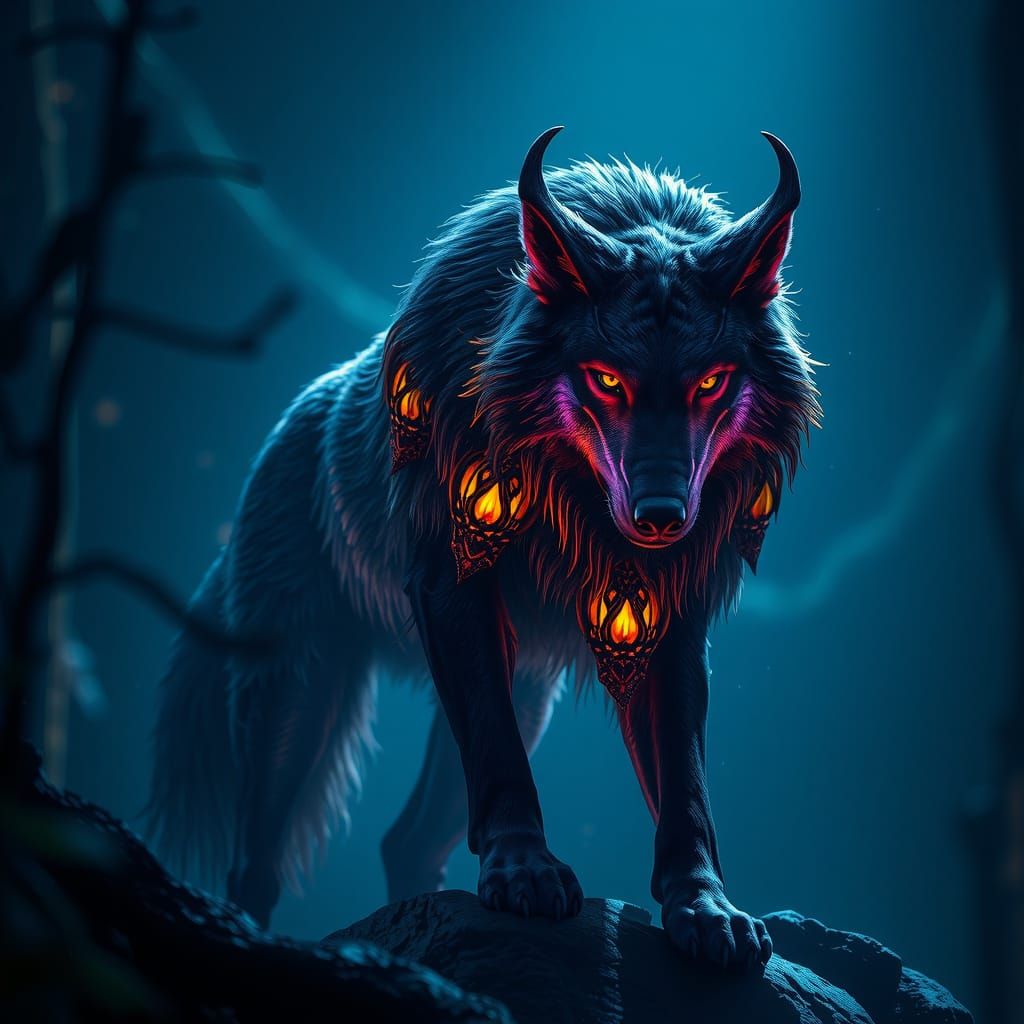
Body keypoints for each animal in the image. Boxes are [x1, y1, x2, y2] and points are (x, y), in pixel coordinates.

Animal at [148, 127, 820, 969]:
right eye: (606, 380)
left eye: (711, 383)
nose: (664, 517)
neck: (574, 507)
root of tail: (288, 425)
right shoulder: (452, 585)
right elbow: (499, 758)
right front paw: (525, 872)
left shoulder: (670, 620)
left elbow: (684, 780)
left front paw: (707, 909)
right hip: (297, 693)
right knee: (258, 861)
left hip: (524, 687)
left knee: (406, 839)